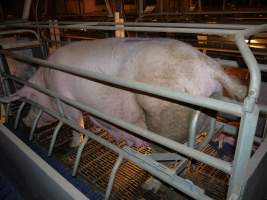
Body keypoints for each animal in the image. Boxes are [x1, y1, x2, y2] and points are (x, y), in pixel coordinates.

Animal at [11, 37, 248, 148]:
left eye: (31, 100)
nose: (24, 121)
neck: (45, 80)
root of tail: (211, 67)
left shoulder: (67, 99)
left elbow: (75, 122)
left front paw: (74, 143)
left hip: (168, 114)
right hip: (206, 113)